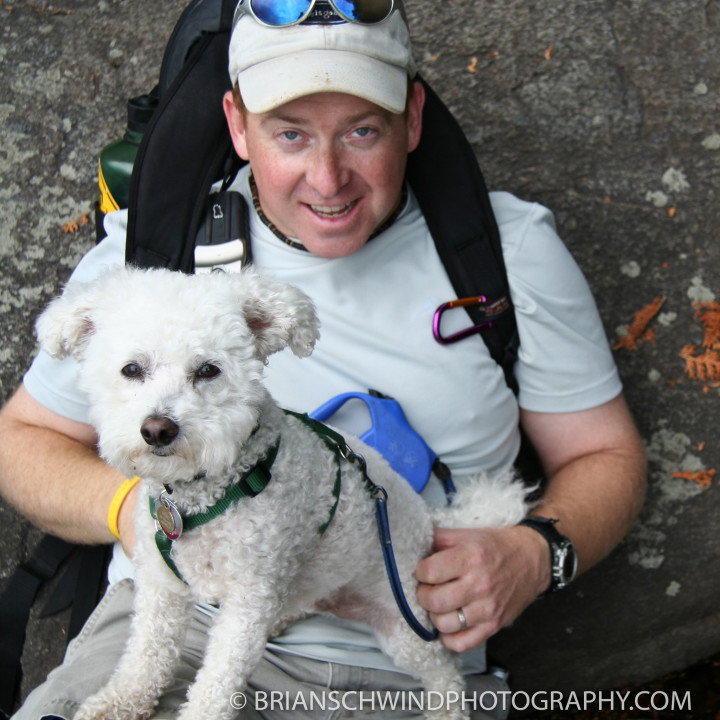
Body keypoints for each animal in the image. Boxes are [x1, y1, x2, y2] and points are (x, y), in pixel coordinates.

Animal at [36, 268, 532, 720]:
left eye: (208, 371)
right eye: (132, 370)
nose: (158, 429)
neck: (209, 493)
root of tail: (428, 519)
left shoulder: (247, 602)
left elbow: (216, 686)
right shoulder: (161, 585)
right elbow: (145, 654)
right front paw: (117, 702)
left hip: (405, 622)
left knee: (444, 673)